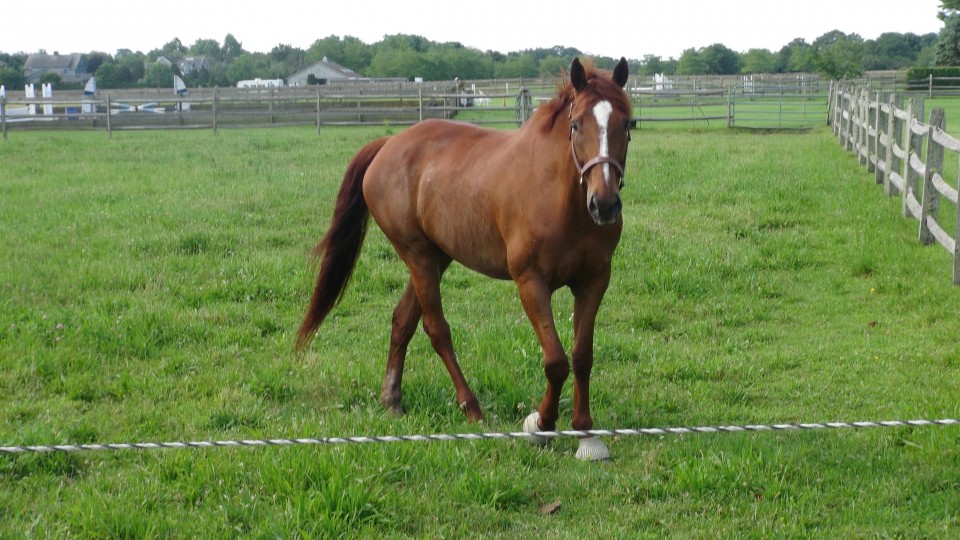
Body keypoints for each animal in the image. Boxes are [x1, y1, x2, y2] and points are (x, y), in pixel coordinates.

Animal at [297, 57, 632, 460]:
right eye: (576, 124)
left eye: (627, 124)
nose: (605, 204)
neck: (560, 197)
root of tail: (389, 143)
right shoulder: (531, 282)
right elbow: (556, 361)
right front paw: (542, 424)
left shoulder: (594, 280)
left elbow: (582, 356)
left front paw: (586, 434)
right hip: (419, 257)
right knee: (436, 329)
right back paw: (471, 407)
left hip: (436, 256)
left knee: (402, 320)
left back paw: (392, 399)